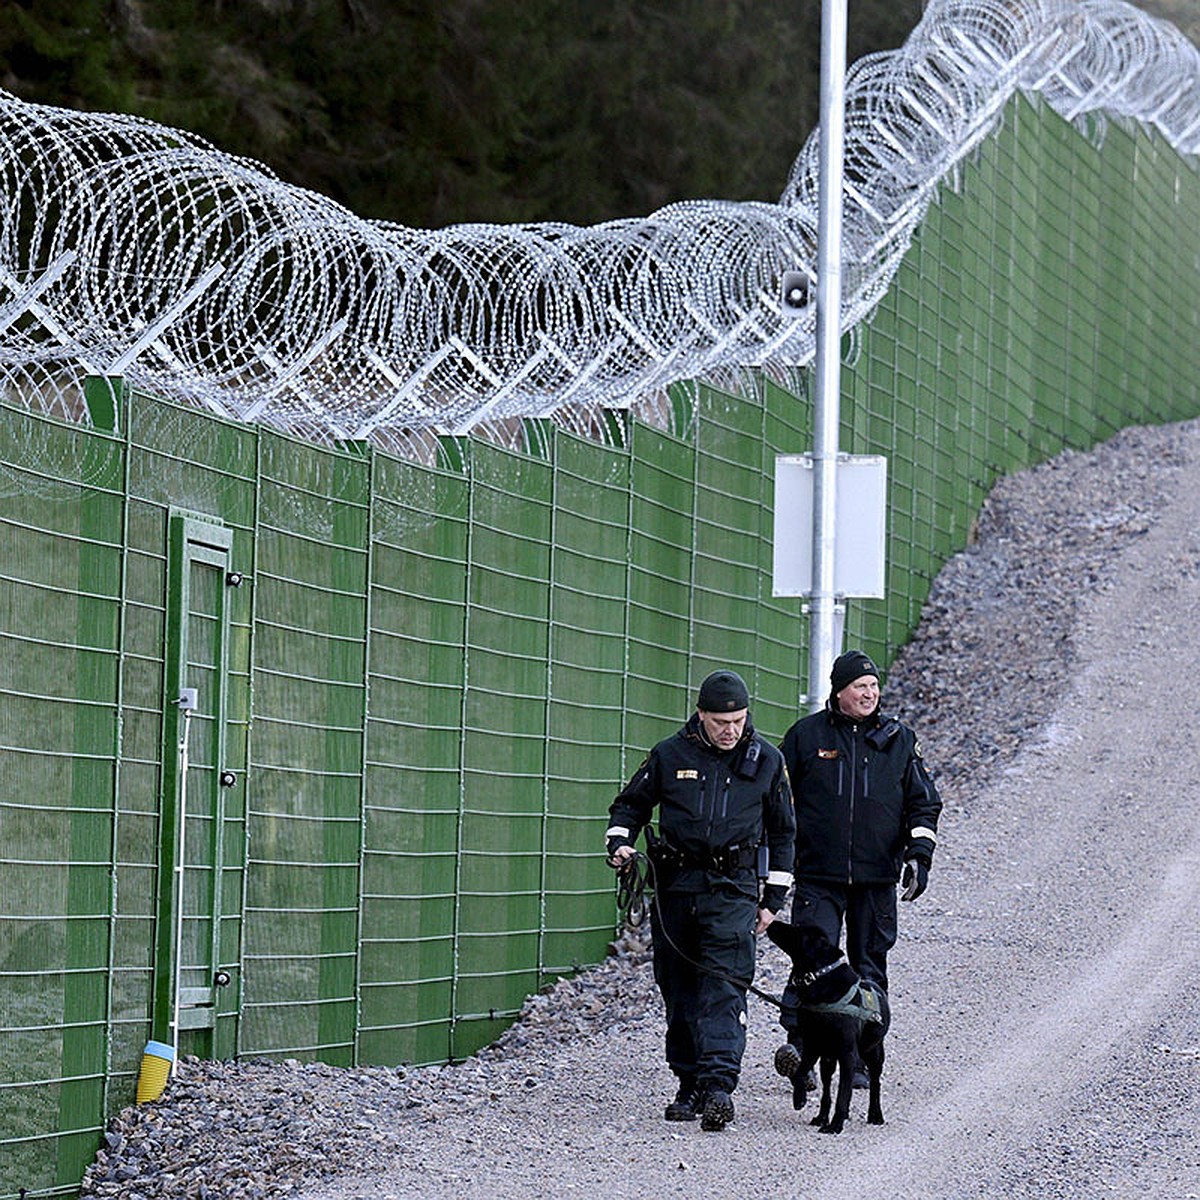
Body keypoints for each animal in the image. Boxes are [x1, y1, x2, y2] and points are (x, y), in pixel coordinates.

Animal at [763, 916, 888, 1132]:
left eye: (796, 929)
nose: (773, 922)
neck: (818, 978)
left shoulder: (847, 1055)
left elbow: (843, 1095)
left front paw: (836, 1124)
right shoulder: (813, 1046)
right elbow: (801, 1071)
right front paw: (800, 1098)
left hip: (873, 1053)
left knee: (874, 1083)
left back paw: (875, 1114)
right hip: (828, 1059)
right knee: (827, 1090)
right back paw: (821, 1117)